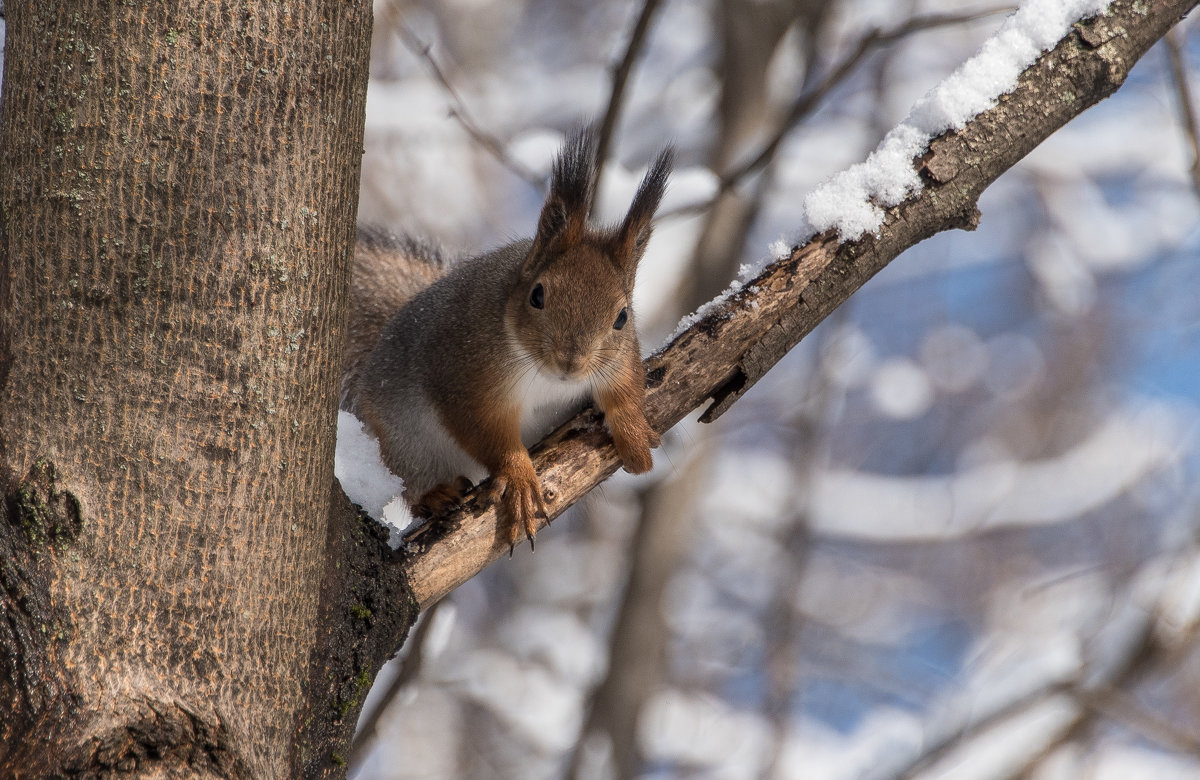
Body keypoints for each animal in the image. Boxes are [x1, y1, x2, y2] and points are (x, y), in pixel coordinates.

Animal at [343, 127, 676, 549]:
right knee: (412, 483)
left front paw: (633, 433)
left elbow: (626, 390)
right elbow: (487, 433)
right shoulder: (466, 376)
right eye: (537, 295)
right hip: (405, 441)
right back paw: (435, 495)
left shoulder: (621, 358)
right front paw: (519, 478)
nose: (571, 362)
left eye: (622, 317)